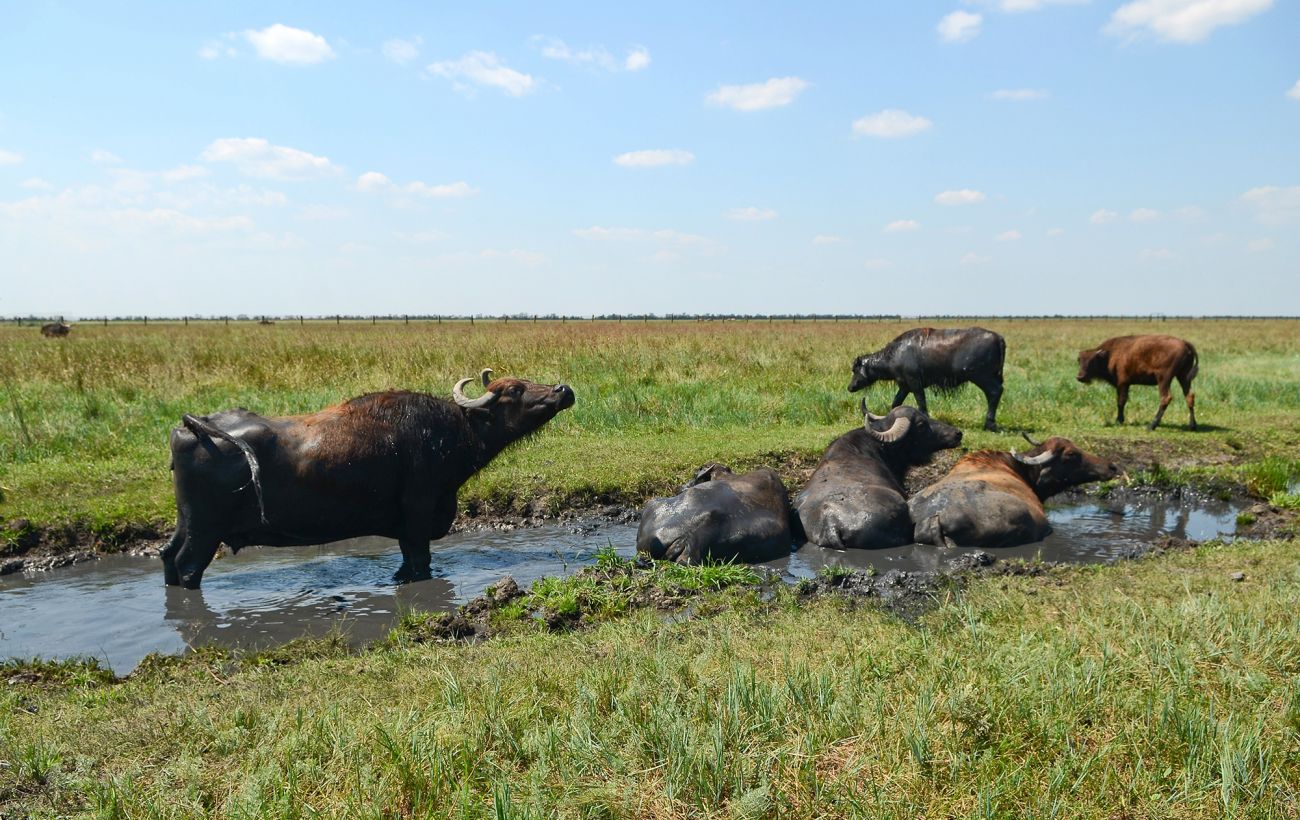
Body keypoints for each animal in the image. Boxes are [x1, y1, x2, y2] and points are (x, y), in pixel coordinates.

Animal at [161, 371, 574, 589]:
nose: (563, 390)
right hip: (205, 531)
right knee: (187, 567)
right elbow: (420, 561)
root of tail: (194, 425)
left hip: (188, 521)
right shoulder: (418, 514)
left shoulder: (407, 527)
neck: (449, 431)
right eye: (515, 390)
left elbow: (406, 561)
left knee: (167, 556)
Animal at [847, 327, 1008, 434]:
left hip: (982, 377)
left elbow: (921, 402)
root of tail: (998, 338)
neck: (895, 354)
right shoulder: (905, 385)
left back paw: (990, 424)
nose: (850, 387)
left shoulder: (914, 383)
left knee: (995, 392)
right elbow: (896, 402)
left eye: (855, 370)